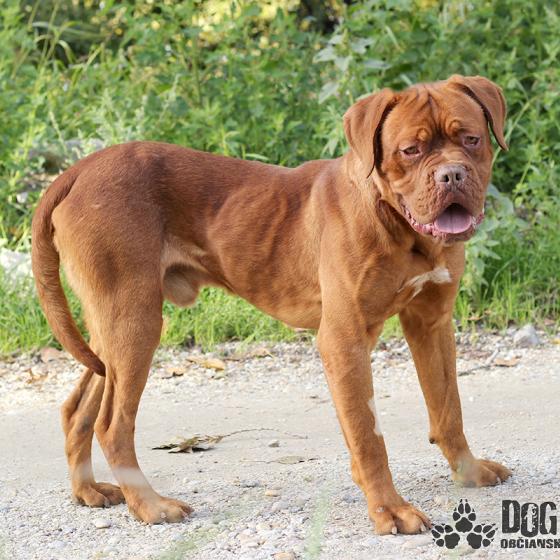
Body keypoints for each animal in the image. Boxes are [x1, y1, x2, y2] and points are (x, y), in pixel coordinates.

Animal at [31, 74, 511, 534]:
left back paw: (89, 490)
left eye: (471, 139)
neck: (398, 225)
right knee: (112, 424)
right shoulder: (344, 339)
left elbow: (448, 408)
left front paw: (468, 472)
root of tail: (79, 170)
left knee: (79, 409)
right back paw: (150, 506)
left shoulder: (432, 322)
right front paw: (389, 510)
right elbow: (368, 434)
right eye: (410, 150)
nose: (451, 175)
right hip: (135, 321)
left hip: (114, 329)